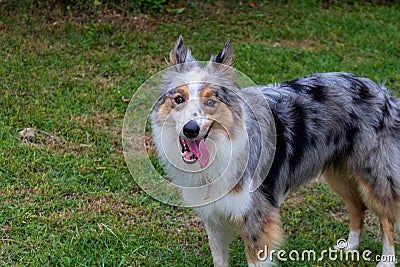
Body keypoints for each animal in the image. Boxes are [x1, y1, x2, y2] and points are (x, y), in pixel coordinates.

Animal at [149, 36, 396, 267]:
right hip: (338, 172)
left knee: (387, 215)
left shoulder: (256, 216)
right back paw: (350, 247)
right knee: (358, 207)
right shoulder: (214, 216)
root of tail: (380, 90)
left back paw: (387, 260)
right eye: (178, 99)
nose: (190, 130)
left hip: (375, 174)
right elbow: (219, 258)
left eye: (211, 101)